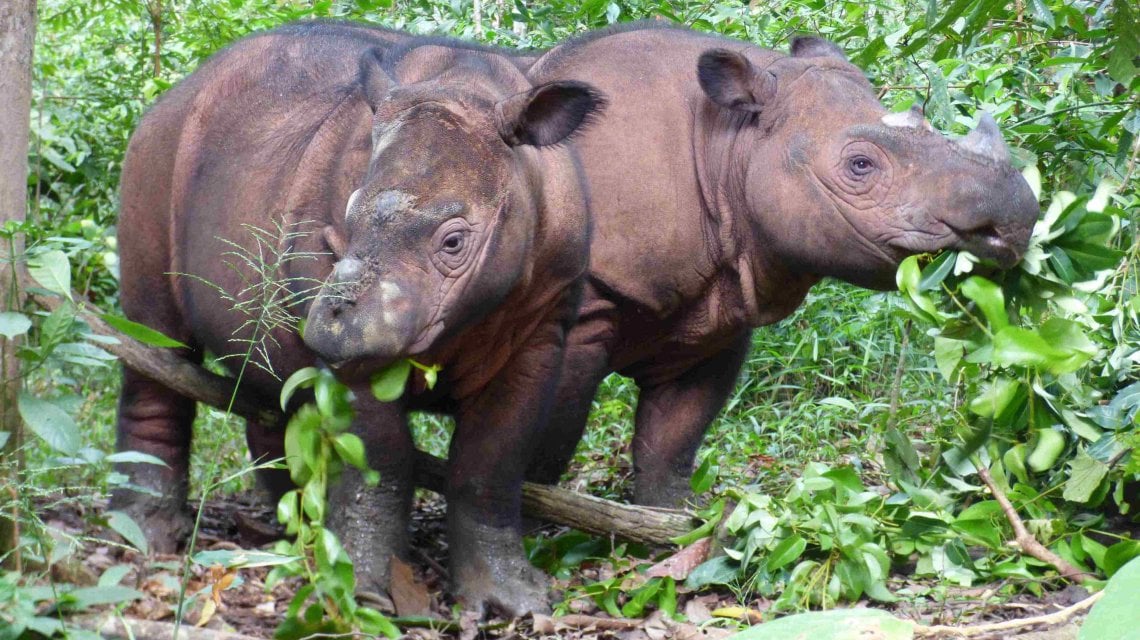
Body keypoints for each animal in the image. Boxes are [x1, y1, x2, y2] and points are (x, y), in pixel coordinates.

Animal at [113, 21, 604, 615]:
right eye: (345, 219)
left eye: (455, 242)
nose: (327, 324)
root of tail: (173, 95)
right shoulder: (353, 329)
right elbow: (382, 455)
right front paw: (367, 593)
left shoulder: (546, 320)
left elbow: (493, 461)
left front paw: (513, 601)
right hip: (152, 156)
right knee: (155, 339)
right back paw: (146, 537)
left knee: (270, 381)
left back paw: (295, 532)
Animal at [521, 24, 1038, 515]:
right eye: (860, 165)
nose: (1011, 225)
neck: (727, 142)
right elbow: (541, 448)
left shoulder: (713, 313)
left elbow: (673, 438)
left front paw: (678, 522)